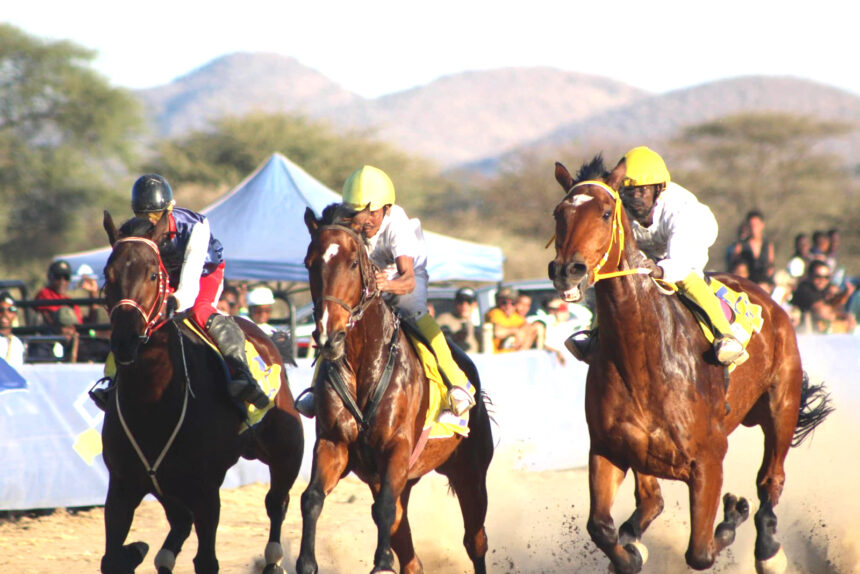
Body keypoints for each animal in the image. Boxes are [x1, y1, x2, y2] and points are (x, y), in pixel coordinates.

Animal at [99, 210, 304, 574]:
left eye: (153, 274)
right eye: (108, 276)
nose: (125, 340)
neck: (152, 402)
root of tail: (268, 337)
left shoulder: (207, 489)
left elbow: (206, 560)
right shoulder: (123, 486)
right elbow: (111, 559)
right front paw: (134, 549)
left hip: (286, 451)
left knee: (276, 502)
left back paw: (273, 558)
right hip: (167, 485)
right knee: (179, 522)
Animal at [296, 206, 494, 574]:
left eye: (353, 263)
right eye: (309, 262)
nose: (329, 336)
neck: (364, 362)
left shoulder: (398, 447)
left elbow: (385, 509)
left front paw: (381, 562)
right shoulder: (334, 444)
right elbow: (312, 497)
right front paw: (305, 561)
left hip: (470, 473)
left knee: (475, 540)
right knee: (411, 554)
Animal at [547, 157, 832, 573]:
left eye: (604, 213)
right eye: (559, 213)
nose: (568, 270)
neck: (644, 359)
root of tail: (771, 299)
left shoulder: (708, 461)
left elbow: (699, 551)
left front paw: (731, 517)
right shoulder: (607, 450)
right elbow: (602, 527)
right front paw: (631, 550)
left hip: (782, 406)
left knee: (771, 479)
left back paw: (767, 549)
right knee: (651, 501)